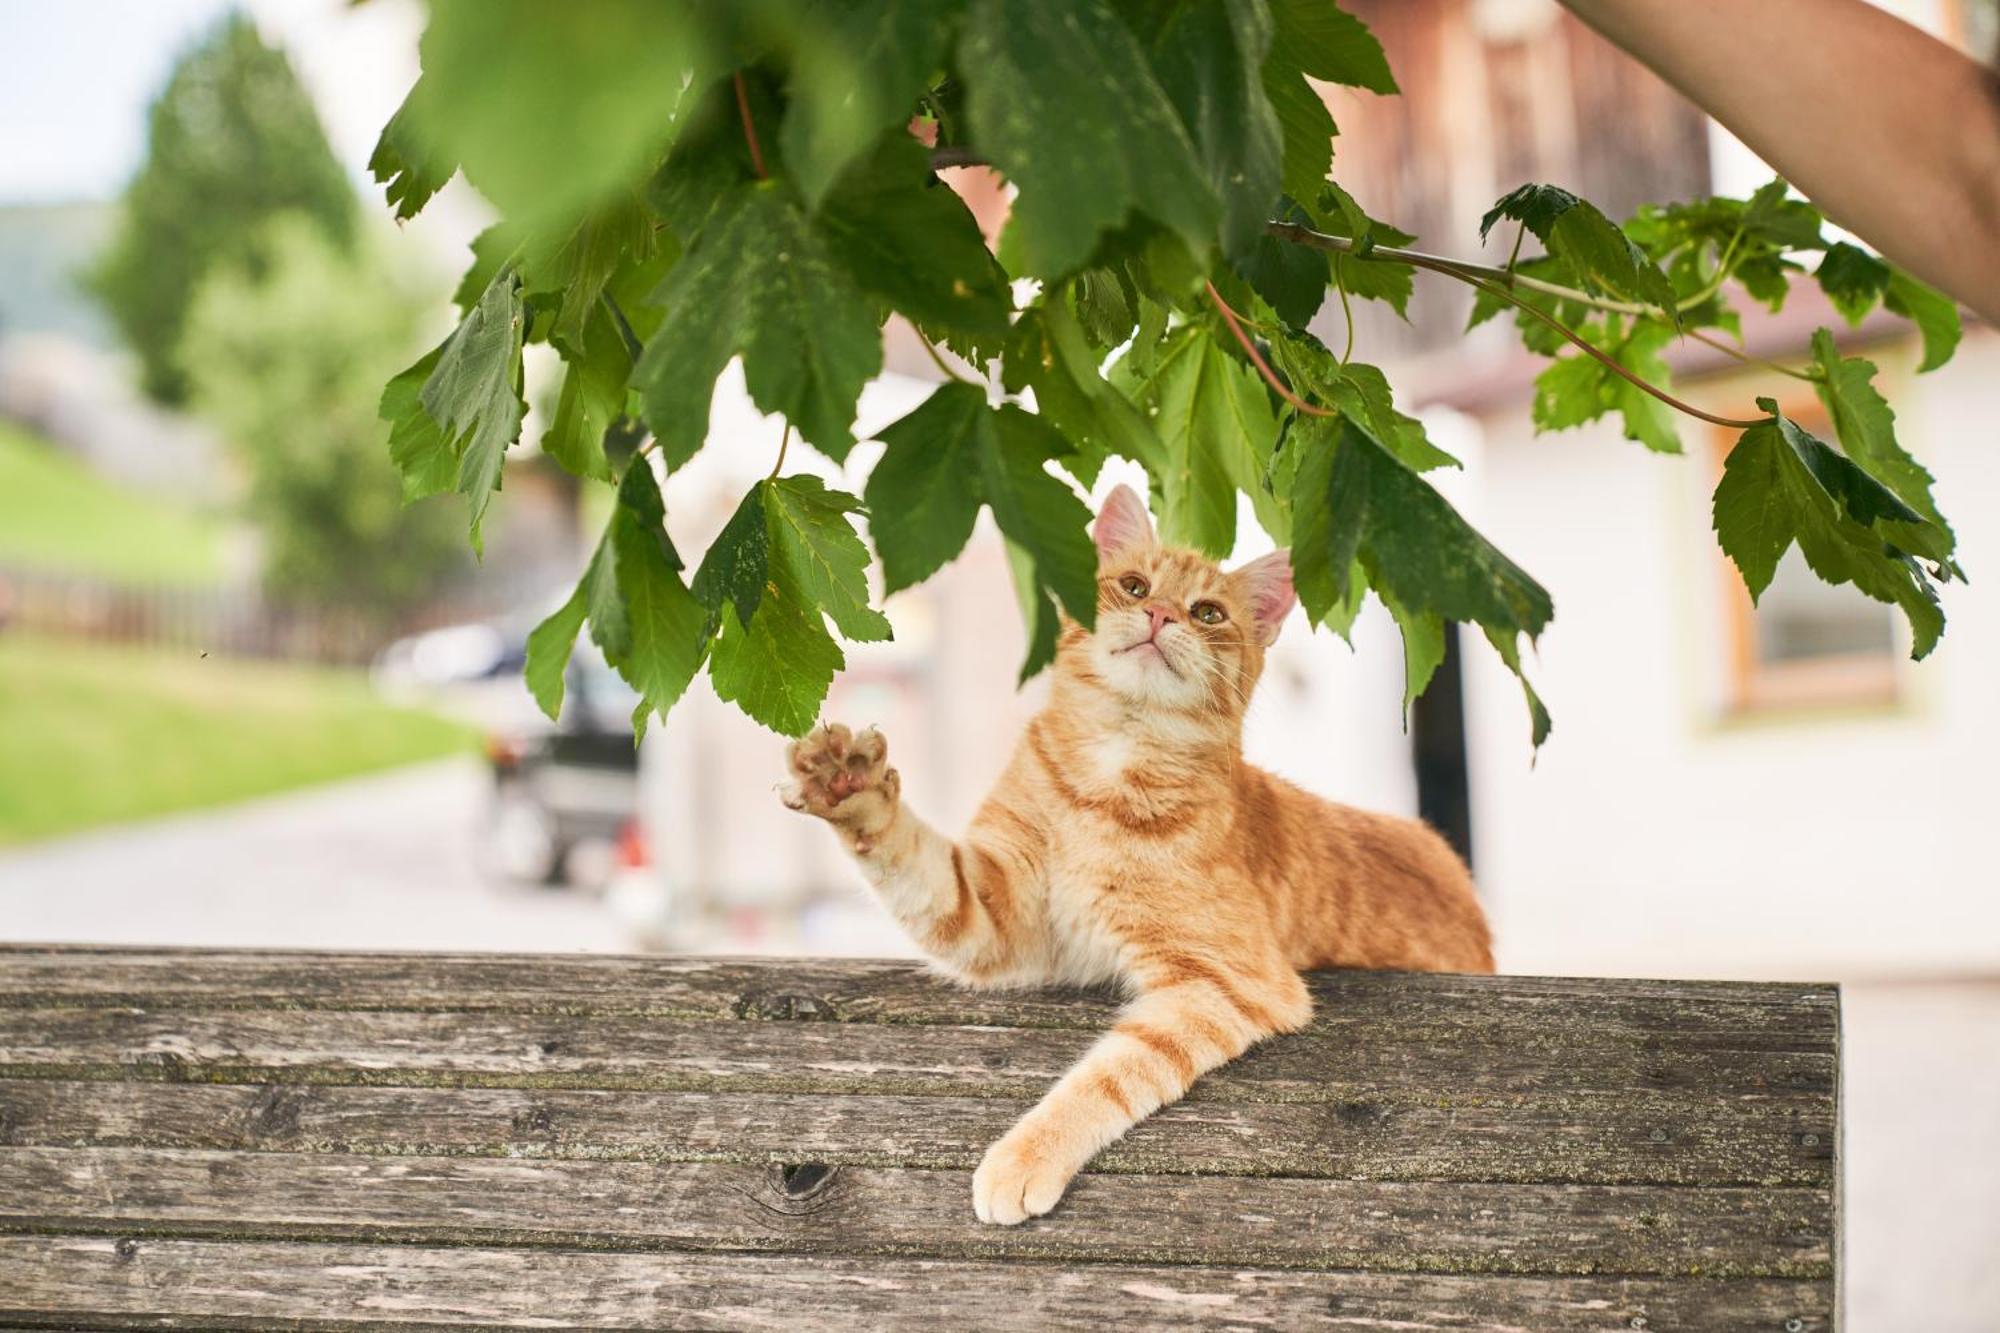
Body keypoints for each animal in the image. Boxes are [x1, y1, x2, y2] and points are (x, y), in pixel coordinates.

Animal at [776, 482, 1488, 1216]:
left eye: (1207, 612)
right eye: (1135, 585)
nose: (1160, 613)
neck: (1107, 772)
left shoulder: (1227, 982)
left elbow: (1111, 1074)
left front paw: (1025, 1156)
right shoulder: (995, 916)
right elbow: (907, 857)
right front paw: (850, 787)